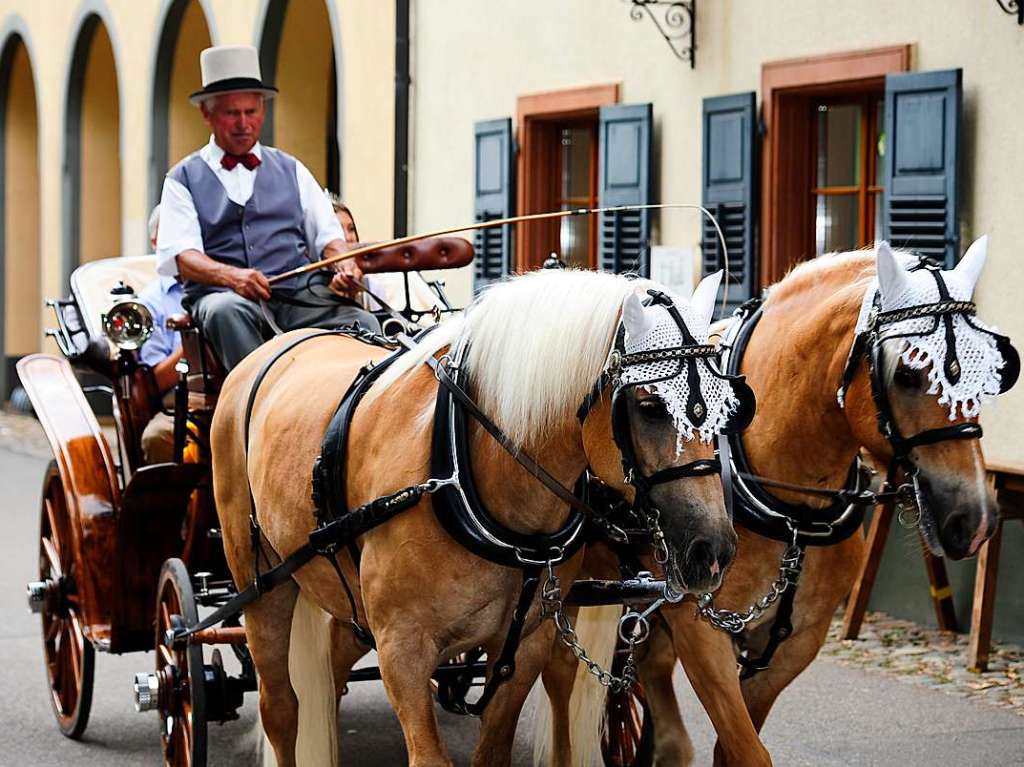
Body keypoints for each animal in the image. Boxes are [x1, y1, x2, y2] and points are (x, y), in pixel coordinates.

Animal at [211, 266, 749, 761]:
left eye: (730, 404)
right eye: (650, 405)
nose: (714, 550)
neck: (461, 468)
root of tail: (275, 346)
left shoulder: (523, 646)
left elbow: (493, 748)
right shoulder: (402, 650)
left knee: (330, 670)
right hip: (262, 583)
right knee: (282, 708)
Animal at [548, 236, 1011, 761]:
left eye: (995, 369)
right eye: (910, 374)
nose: (974, 518)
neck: (790, 511)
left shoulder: (795, 643)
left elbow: (735, 745)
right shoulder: (701, 629)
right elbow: (748, 749)